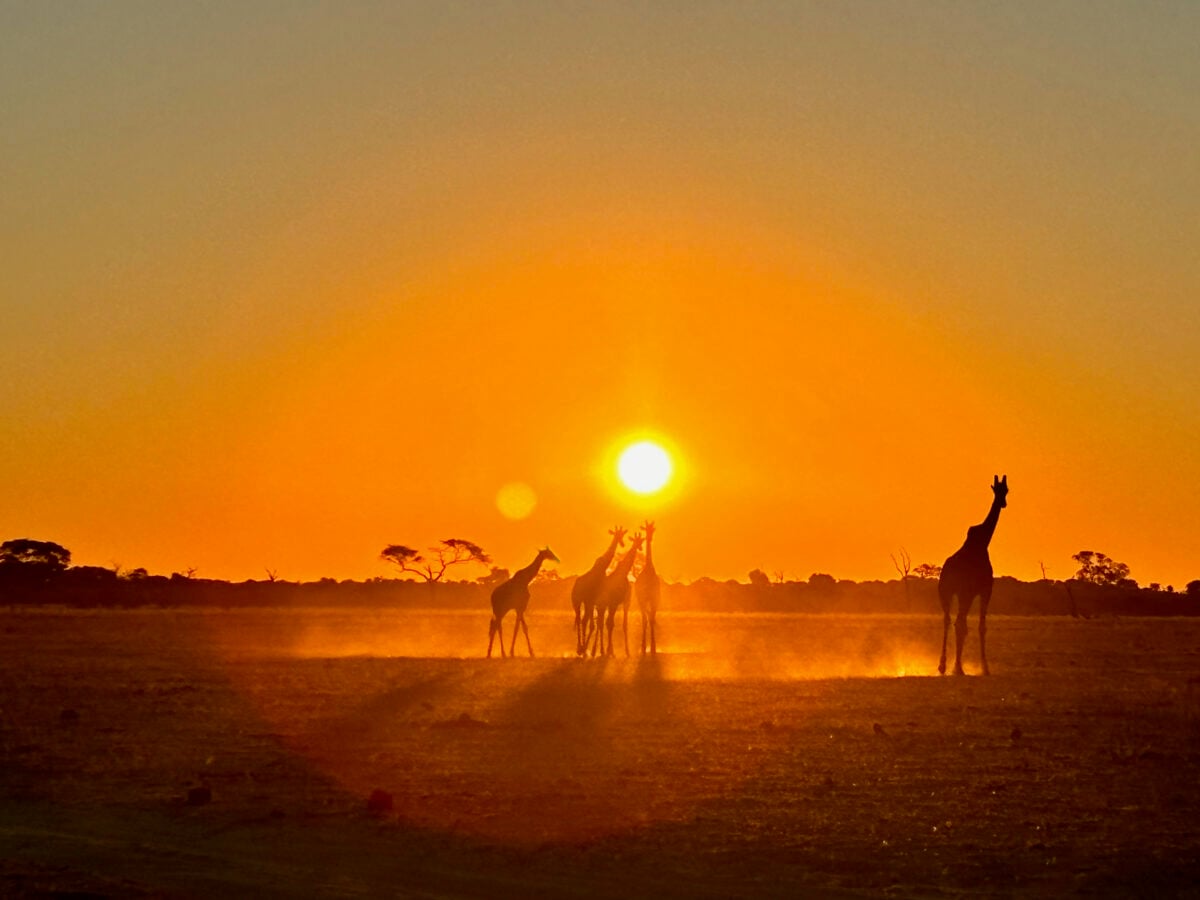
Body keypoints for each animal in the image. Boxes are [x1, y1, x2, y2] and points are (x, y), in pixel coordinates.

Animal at [571, 527, 626, 657]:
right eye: (617, 535)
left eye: (622, 535)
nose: (622, 543)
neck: (602, 568)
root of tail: (574, 586)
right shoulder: (592, 601)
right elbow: (593, 623)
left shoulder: (593, 601)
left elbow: (594, 623)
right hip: (576, 602)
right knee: (579, 620)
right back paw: (580, 648)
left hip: (585, 603)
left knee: (582, 620)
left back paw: (582, 648)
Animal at [938, 475, 1008, 675]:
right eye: (997, 489)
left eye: (1006, 490)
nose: (1003, 503)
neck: (983, 542)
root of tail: (947, 571)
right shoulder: (978, 591)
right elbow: (974, 626)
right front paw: (976, 667)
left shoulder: (979, 592)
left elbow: (978, 626)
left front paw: (983, 667)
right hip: (955, 594)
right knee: (956, 623)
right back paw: (951, 666)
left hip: (952, 594)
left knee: (951, 621)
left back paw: (948, 665)